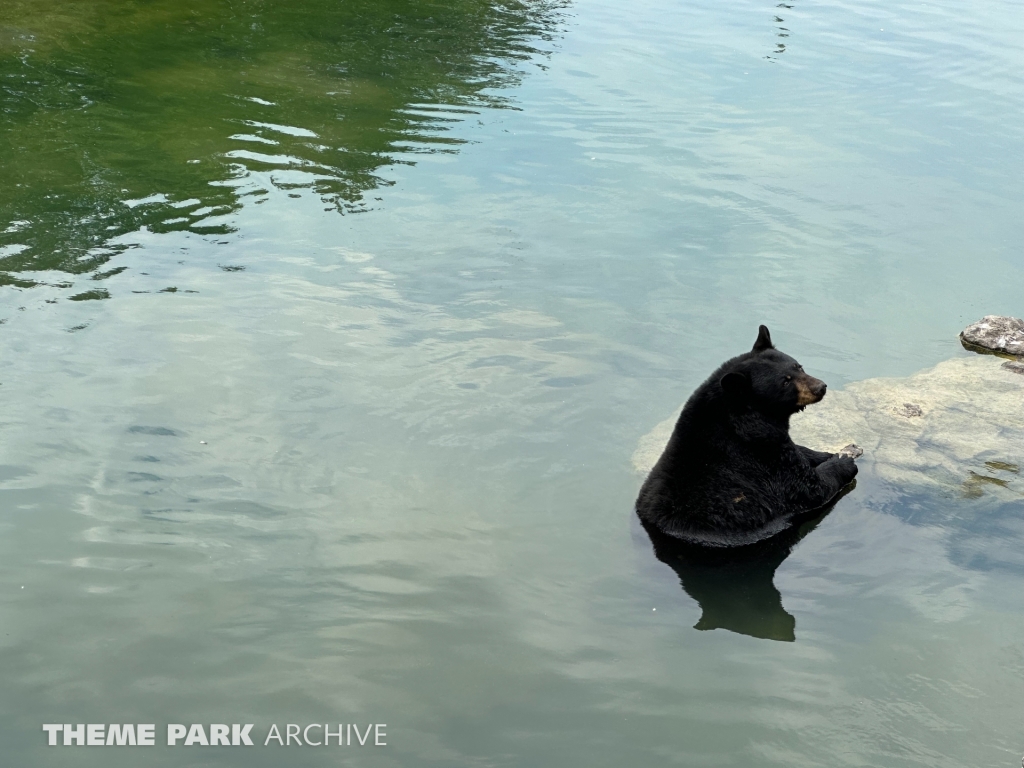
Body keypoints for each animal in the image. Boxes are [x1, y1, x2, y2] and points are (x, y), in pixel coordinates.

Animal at [634, 325, 860, 548]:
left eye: (799, 367)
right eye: (785, 382)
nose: (820, 387)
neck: (740, 423)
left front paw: (829, 453)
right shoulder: (764, 458)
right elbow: (810, 489)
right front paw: (843, 460)